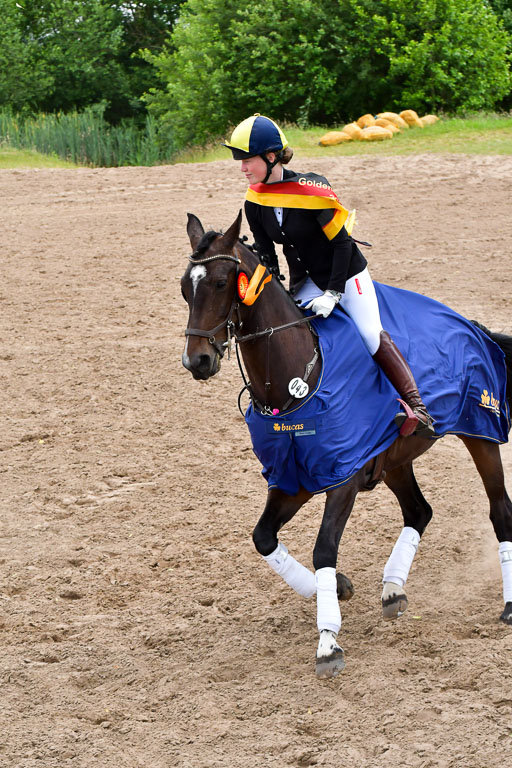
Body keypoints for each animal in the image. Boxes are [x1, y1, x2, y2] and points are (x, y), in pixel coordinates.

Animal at [181, 210, 512, 679]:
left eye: (222, 282)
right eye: (184, 287)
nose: (198, 361)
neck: (298, 381)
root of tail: (469, 324)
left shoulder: (344, 478)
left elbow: (324, 549)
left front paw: (328, 643)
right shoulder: (292, 478)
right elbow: (264, 538)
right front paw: (336, 588)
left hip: (480, 432)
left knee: (500, 511)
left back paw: (508, 606)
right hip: (394, 460)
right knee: (419, 511)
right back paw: (392, 589)